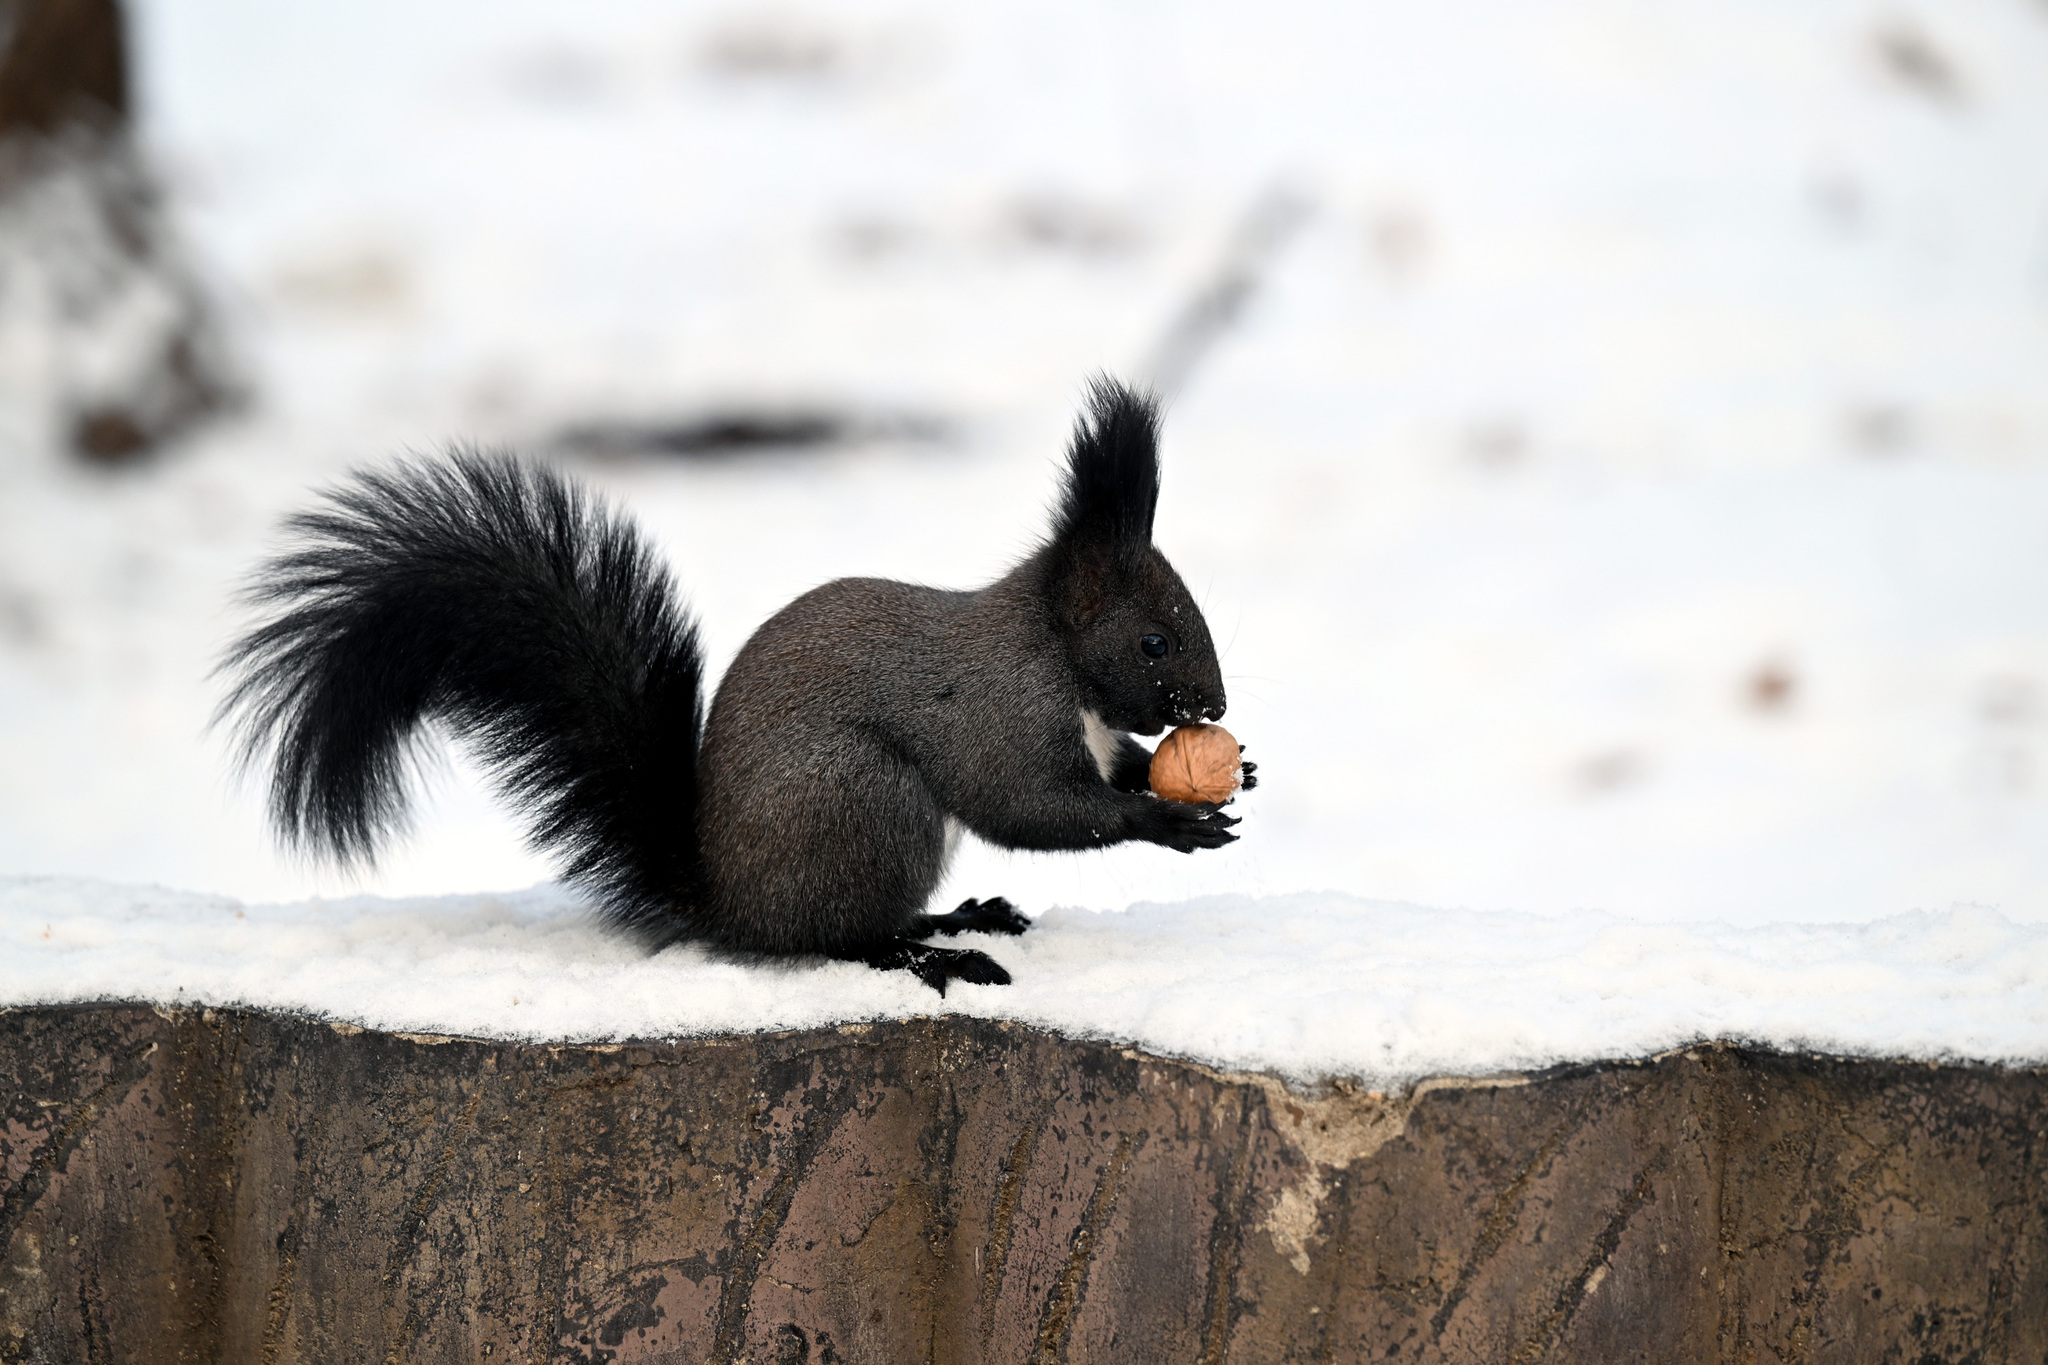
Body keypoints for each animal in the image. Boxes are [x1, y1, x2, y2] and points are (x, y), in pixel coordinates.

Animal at [220, 374, 1245, 994]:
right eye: (1155, 640)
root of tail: (726, 901)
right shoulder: (1002, 711)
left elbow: (1105, 775)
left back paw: (960, 914)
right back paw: (927, 951)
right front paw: (1169, 819)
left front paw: (1224, 777)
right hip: (867, 801)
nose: (1216, 708)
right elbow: (1028, 805)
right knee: (839, 937)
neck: (1060, 657)